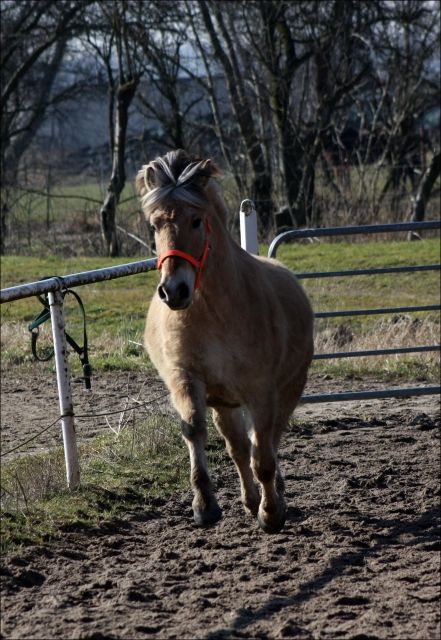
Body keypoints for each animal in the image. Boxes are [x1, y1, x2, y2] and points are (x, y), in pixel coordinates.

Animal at [136, 150, 314, 533]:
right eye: (154, 225)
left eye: (196, 221)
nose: (173, 291)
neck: (212, 312)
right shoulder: (186, 379)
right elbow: (195, 431)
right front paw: (205, 505)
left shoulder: (262, 393)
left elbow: (264, 456)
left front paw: (271, 513)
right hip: (225, 403)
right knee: (239, 448)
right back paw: (249, 500)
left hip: (287, 390)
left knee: (268, 443)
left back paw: (273, 497)